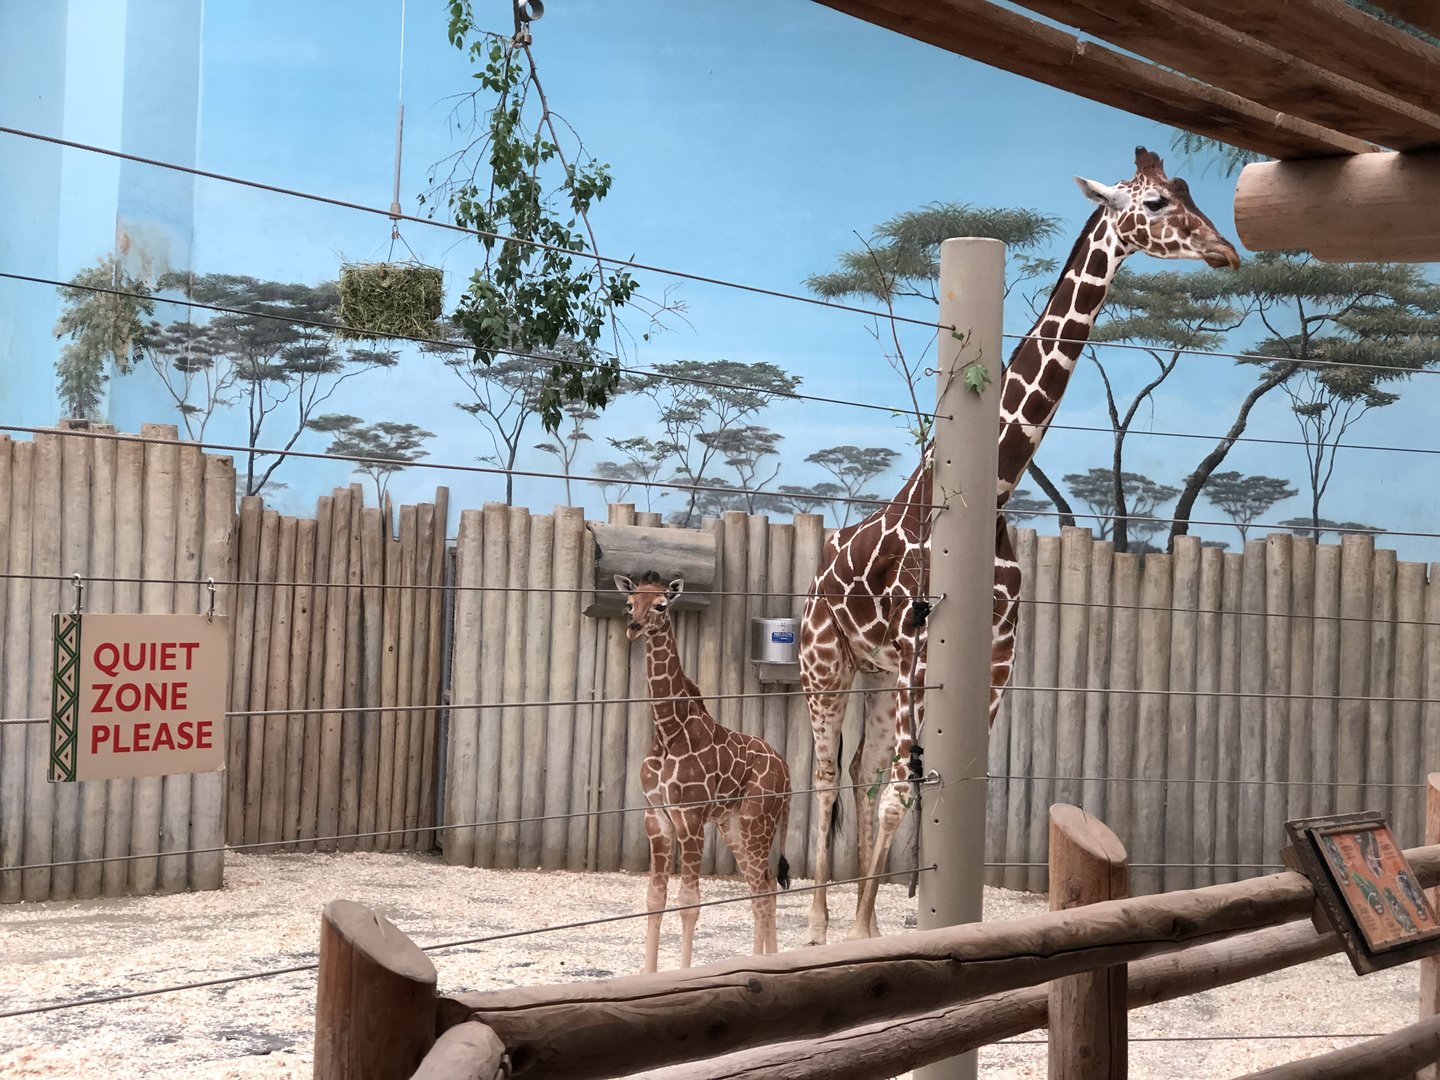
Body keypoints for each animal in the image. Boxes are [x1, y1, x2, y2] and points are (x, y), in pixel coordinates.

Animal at [617, 571, 793, 973]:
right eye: (630, 603)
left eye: (661, 605)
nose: (634, 628)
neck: (668, 730)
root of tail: (788, 771)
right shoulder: (656, 817)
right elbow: (655, 899)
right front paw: (647, 973)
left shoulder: (691, 817)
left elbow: (689, 903)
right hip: (734, 826)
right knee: (761, 886)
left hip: (758, 822)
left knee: (764, 887)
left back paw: (768, 961)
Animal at [801, 147, 1241, 945]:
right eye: (1156, 203)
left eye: (1189, 191)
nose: (1226, 252)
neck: (998, 489)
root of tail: (819, 572)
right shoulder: (922, 647)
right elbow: (904, 792)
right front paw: (864, 933)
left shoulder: (1001, 653)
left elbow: (948, 783)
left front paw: (894, 927)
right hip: (827, 664)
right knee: (824, 778)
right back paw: (820, 925)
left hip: (877, 676)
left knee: (860, 773)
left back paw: (859, 919)